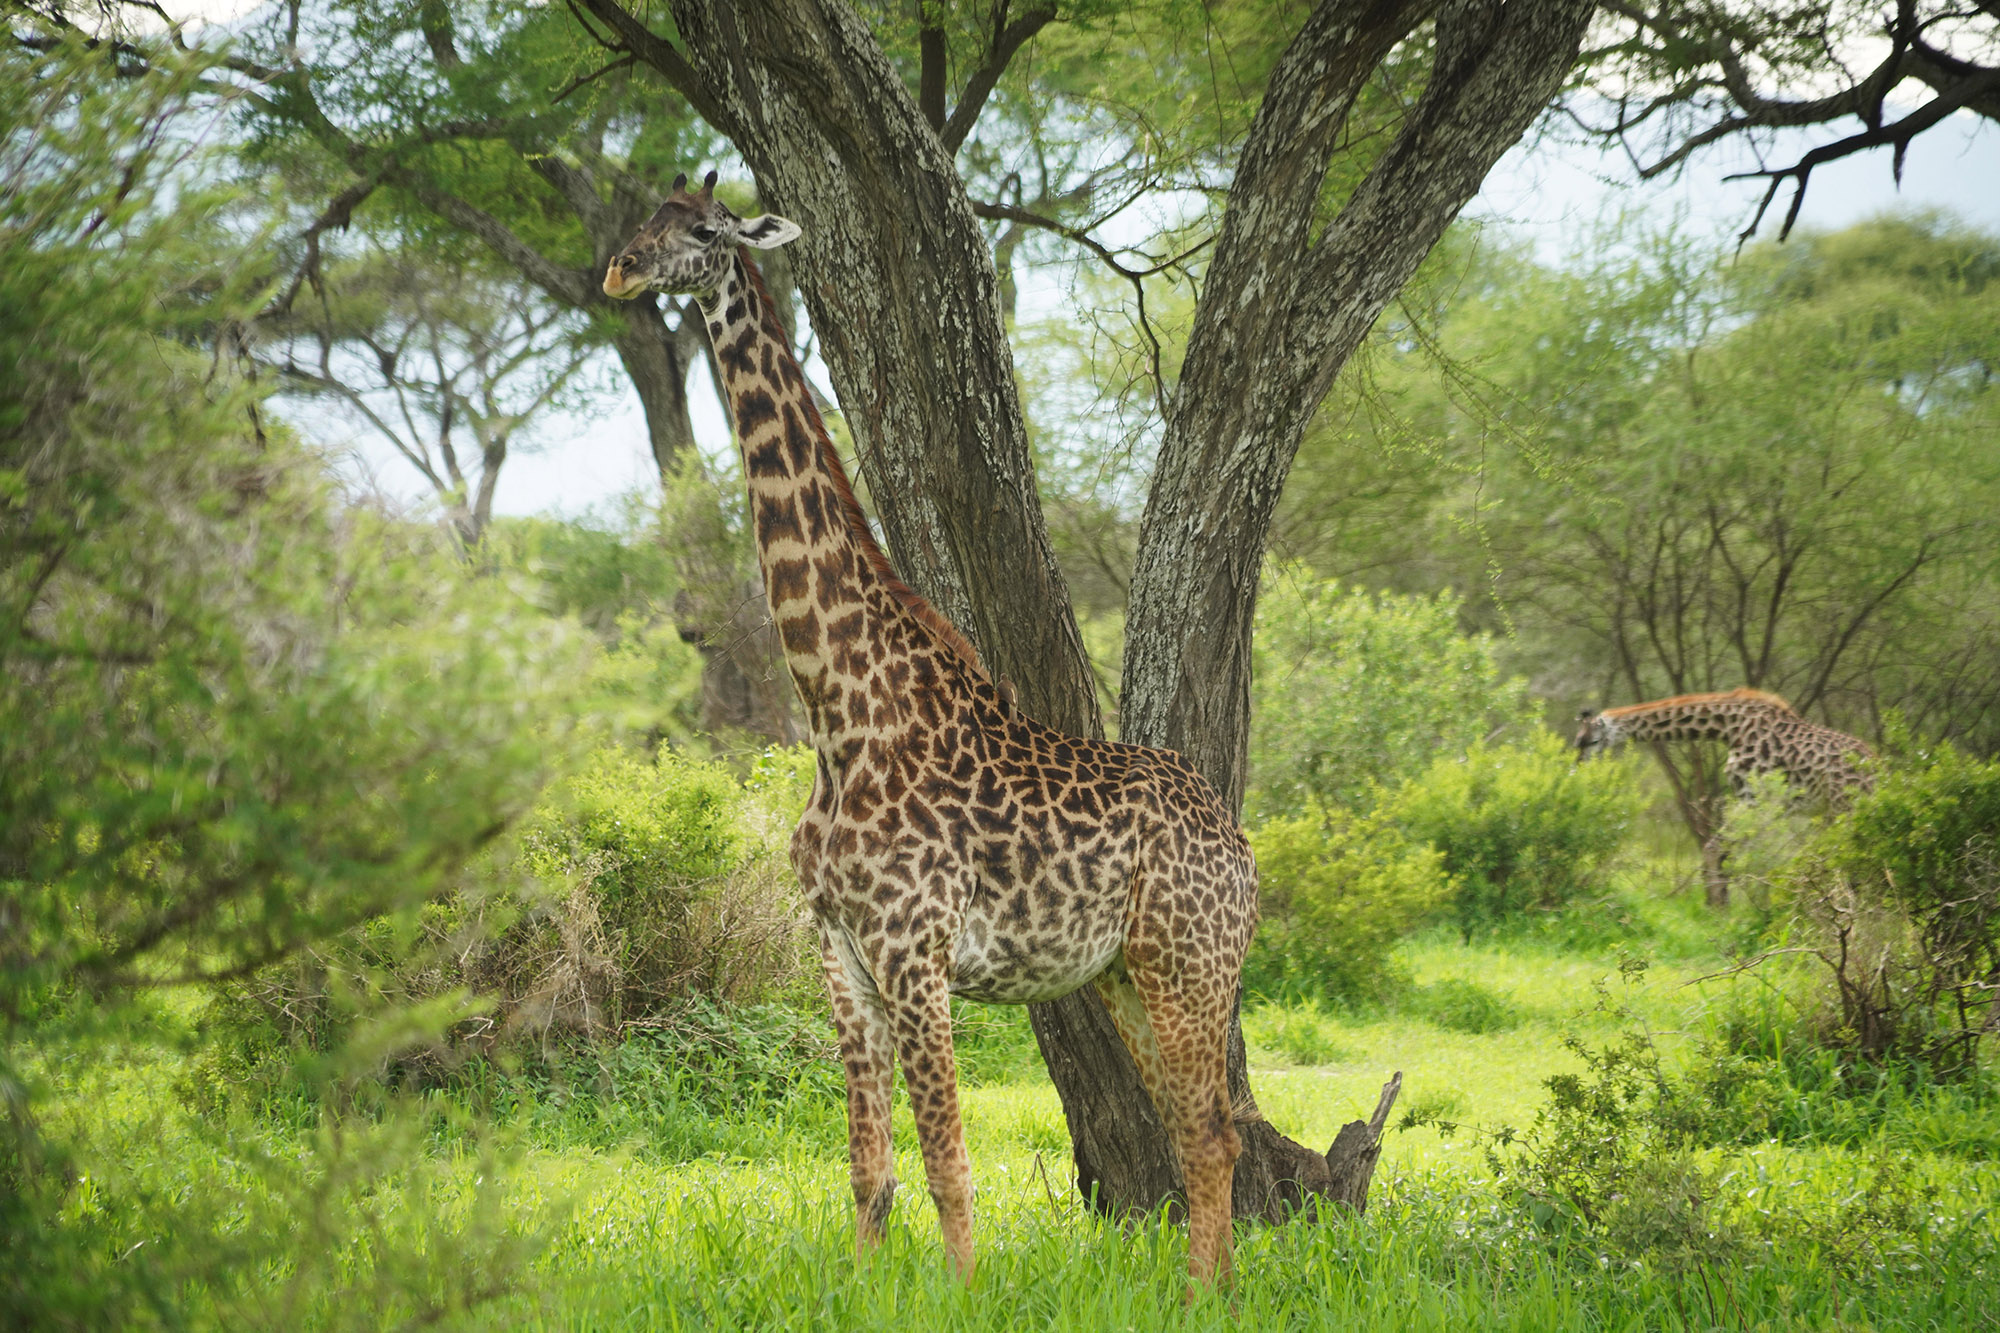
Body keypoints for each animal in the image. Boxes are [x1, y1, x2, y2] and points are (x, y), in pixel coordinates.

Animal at [603, 174, 1256, 1288]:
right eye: (640, 219)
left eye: (699, 229)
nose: (619, 270)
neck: (839, 714)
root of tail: (1242, 843)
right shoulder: (841, 952)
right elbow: (868, 1167)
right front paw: (866, 1288)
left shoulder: (914, 948)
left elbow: (948, 1160)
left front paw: (962, 1288)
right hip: (1126, 973)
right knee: (1192, 1130)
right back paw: (1192, 1290)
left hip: (1189, 964)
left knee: (1212, 1131)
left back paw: (1203, 1294)